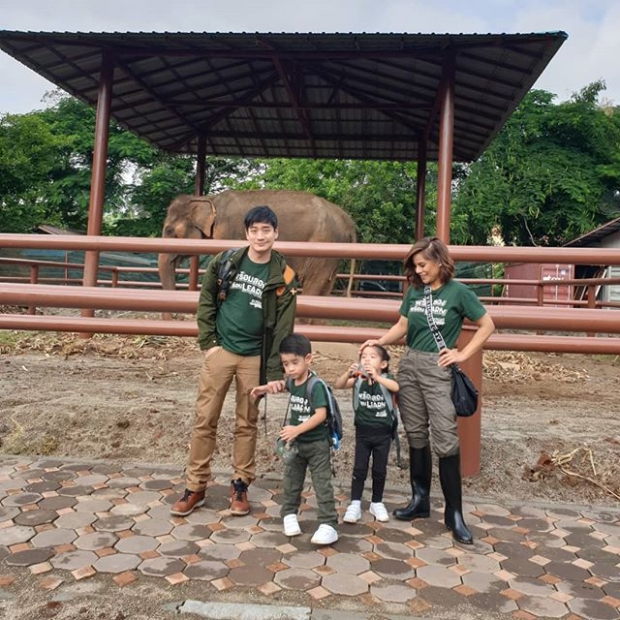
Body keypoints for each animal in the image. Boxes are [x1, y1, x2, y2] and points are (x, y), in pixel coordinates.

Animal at [157, 188, 356, 314]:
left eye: (169, 230)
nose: (176, 317)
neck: (209, 199)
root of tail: (348, 222)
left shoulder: (229, 232)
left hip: (322, 249)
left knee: (313, 286)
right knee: (326, 286)